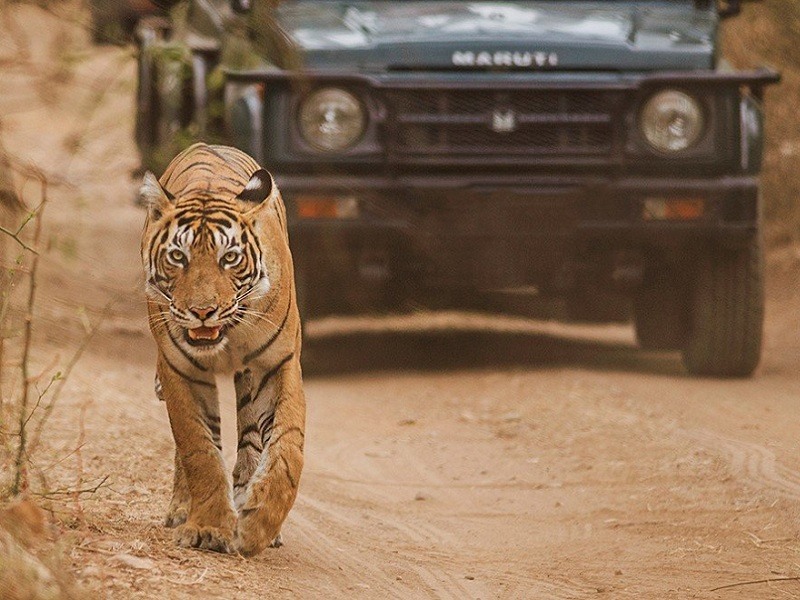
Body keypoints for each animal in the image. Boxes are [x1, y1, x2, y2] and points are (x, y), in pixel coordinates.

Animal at [139, 143, 304, 556]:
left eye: (229, 258)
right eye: (178, 257)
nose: (202, 312)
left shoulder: (277, 364)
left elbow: (288, 447)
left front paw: (260, 522)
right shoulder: (181, 370)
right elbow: (199, 449)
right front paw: (209, 528)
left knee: (250, 438)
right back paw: (183, 510)